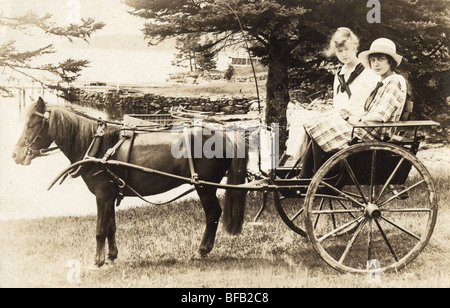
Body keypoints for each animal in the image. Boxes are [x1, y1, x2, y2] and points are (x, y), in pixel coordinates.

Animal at [13, 97, 250, 266]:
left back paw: (202, 251)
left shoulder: (102, 195)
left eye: (33, 124)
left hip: (205, 187)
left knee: (213, 215)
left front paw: (97, 261)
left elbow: (100, 228)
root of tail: (223, 134)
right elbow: (111, 226)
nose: (16, 155)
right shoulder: (110, 195)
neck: (98, 145)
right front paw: (111, 256)